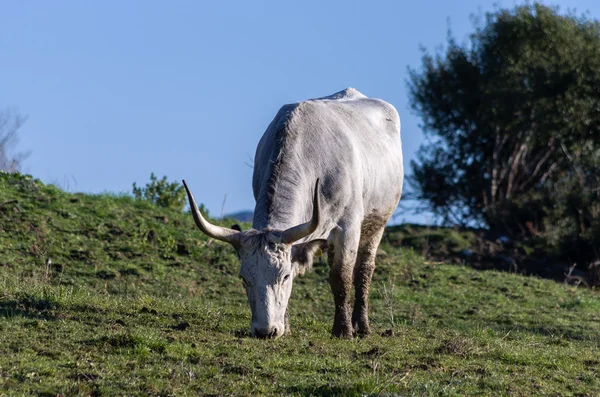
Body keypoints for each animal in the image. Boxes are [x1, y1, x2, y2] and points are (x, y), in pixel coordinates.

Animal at [183, 87, 404, 338]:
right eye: (244, 278)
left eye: (284, 276)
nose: (265, 331)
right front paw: (286, 326)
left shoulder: (348, 226)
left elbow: (341, 277)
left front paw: (343, 330)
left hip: (377, 224)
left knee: (364, 270)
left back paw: (362, 325)